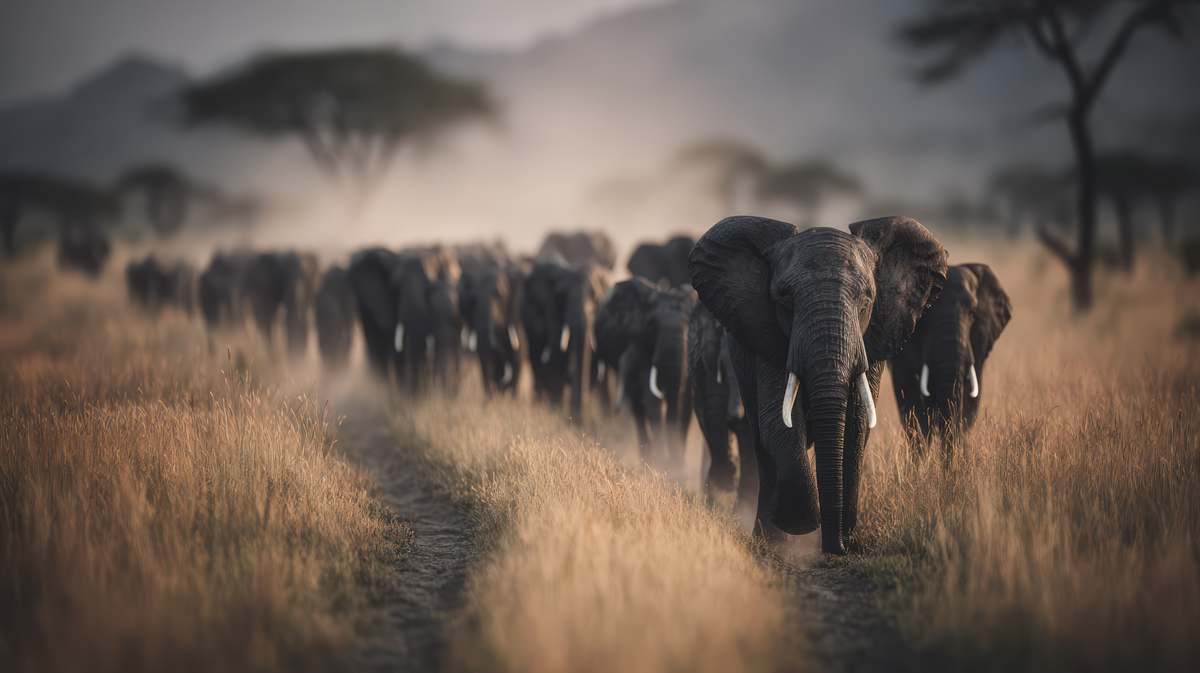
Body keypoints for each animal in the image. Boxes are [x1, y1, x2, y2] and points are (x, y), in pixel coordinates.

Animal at [520, 258, 609, 422]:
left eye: (594, 297)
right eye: (564, 297)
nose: (576, 420)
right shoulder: (551, 309)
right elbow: (557, 356)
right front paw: (557, 416)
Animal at [594, 278, 695, 466]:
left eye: (689, 328)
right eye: (652, 326)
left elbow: (682, 403)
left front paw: (676, 468)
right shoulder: (639, 345)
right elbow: (651, 399)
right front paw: (662, 464)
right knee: (638, 408)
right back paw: (646, 458)